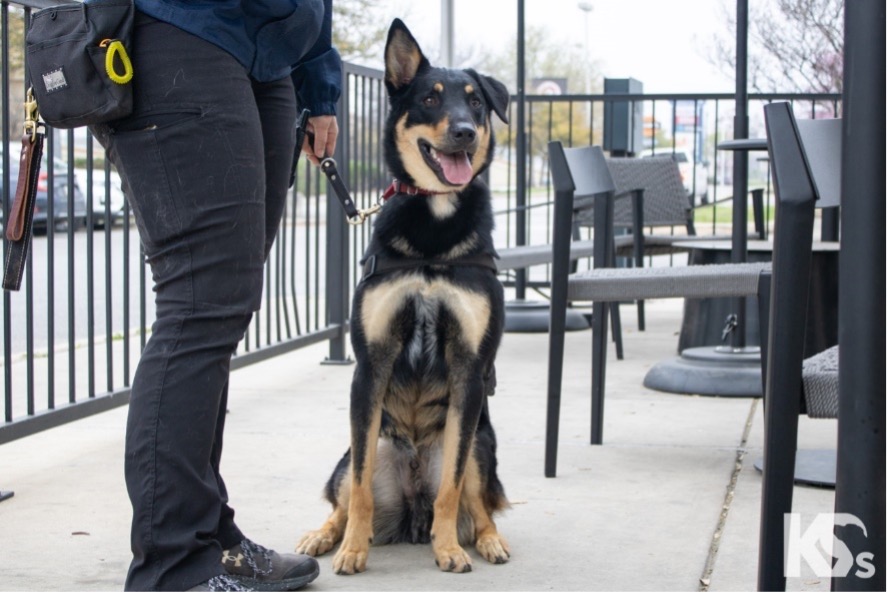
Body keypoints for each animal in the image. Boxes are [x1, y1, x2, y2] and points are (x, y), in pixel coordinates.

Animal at [294, 19, 510, 576]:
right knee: (345, 494)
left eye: (476, 103)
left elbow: (452, 489)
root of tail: (412, 508)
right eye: (430, 99)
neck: (434, 219)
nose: (466, 131)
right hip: (349, 451)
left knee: (478, 502)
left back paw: (486, 539)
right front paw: (352, 549)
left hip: (482, 443)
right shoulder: (371, 366)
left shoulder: (469, 373)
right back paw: (323, 536)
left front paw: (450, 548)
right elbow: (361, 492)